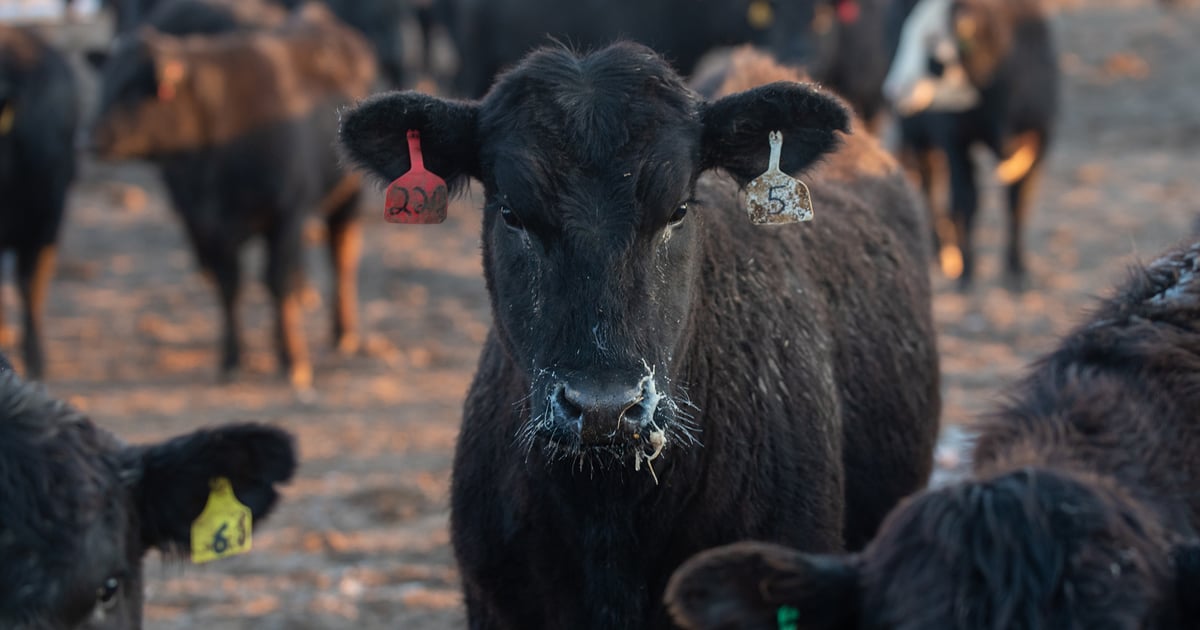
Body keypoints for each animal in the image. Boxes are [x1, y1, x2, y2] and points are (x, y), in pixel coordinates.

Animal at [86, 1, 376, 393]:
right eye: (106, 82)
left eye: (133, 88)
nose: (88, 139)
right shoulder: (206, 225)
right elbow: (229, 287)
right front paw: (232, 358)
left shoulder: (286, 212)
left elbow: (275, 283)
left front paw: (292, 357)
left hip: (346, 196)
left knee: (341, 256)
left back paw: (343, 332)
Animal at [882, 0, 1059, 291]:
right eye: (902, 36)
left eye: (933, 39)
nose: (892, 90)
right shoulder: (955, 140)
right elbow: (967, 199)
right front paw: (968, 270)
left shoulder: (1040, 139)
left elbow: (1018, 202)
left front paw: (1016, 267)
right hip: (918, 136)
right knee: (929, 186)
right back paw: (941, 250)